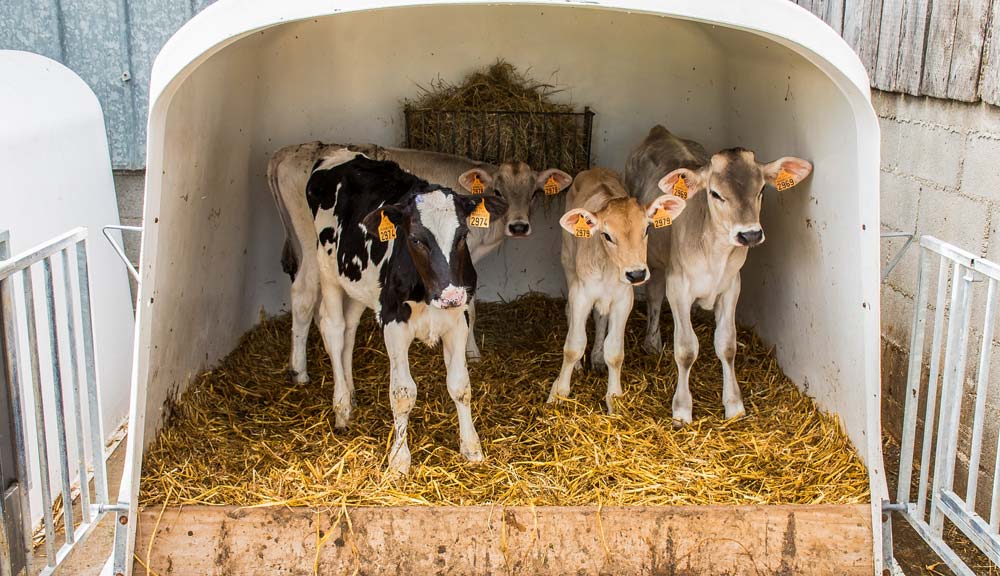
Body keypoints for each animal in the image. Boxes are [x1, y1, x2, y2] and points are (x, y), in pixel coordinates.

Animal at [278, 150, 504, 472]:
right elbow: (403, 393)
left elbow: (460, 385)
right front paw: (399, 460)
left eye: (462, 235)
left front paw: (471, 448)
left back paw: (351, 394)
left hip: (360, 284)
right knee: (332, 327)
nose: (451, 295)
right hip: (326, 267)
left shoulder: (456, 321)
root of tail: (337, 154)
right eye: (416, 239)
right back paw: (341, 407)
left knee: (349, 330)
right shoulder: (394, 323)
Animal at [552, 168, 684, 414]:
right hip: (568, 263)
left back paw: (596, 358)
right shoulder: (581, 295)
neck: (608, 268)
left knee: (600, 318)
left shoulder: (623, 300)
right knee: (570, 313)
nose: (637, 274)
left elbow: (614, 352)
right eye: (606, 235)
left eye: (647, 229)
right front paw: (558, 393)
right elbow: (573, 345)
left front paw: (614, 398)